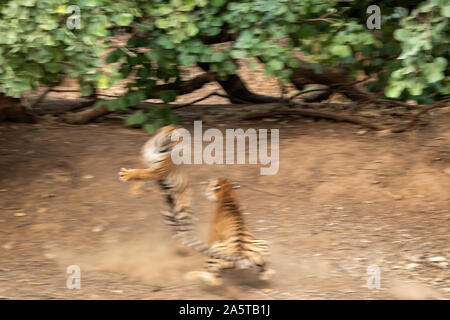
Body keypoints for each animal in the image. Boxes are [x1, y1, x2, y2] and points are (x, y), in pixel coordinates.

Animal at [118, 124, 248, 264]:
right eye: (178, 138)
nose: (178, 148)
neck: (159, 147)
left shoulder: (158, 171)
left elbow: (141, 173)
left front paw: (126, 175)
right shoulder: (143, 159)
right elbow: (139, 174)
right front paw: (135, 190)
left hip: (183, 212)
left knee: (186, 234)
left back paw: (183, 249)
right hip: (168, 215)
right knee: (179, 234)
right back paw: (179, 248)